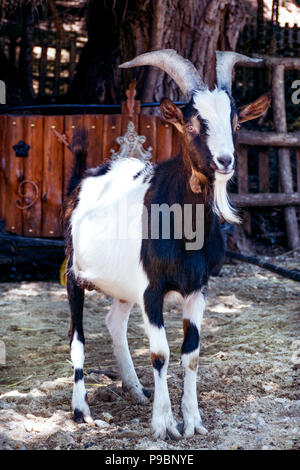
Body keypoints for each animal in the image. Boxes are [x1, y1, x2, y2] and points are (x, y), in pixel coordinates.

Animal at [62, 49, 270, 438]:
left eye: (236, 123)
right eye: (191, 125)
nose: (225, 161)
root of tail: (88, 178)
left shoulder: (197, 289)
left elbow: (191, 353)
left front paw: (193, 421)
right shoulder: (151, 290)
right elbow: (161, 354)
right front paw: (164, 424)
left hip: (123, 285)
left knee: (115, 321)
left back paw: (135, 389)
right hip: (73, 272)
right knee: (77, 336)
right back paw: (81, 409)